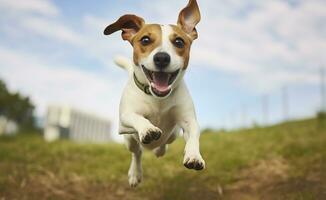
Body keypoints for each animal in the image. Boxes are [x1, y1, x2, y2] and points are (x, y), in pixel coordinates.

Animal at [104, 0, 205, 188]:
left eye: (179, 42)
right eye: (145, 39)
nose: (162, 58)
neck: (158, 98)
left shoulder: (188, 121)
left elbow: (194, 134)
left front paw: (194, 155)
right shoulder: (124, 121)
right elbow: (137, 118)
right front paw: (148, 129)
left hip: (174, 134)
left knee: (165, 143)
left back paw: (159, 149)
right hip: (129, 141)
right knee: (136, 152)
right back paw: (135, 173)